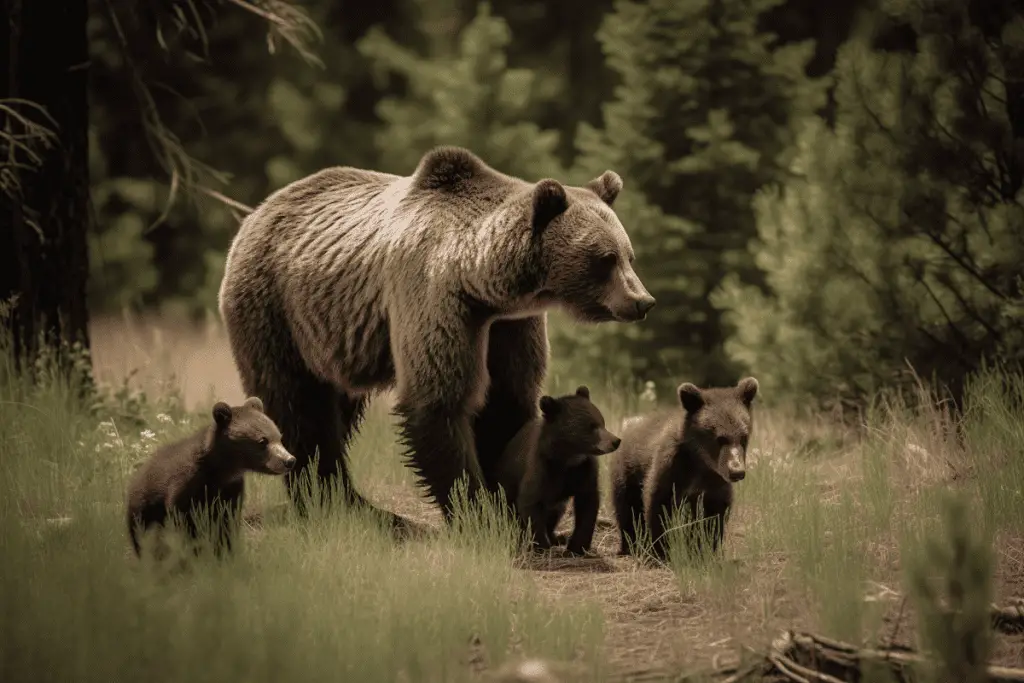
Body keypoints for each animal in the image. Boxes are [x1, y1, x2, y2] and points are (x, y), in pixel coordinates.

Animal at [124, 397, 296, 557]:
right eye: (262, 440)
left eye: (279, 436)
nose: (289, 460)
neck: (220, 471)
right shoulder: (185, 486)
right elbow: (186, 523)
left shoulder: (230, 490)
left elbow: (226, 525)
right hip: (143, 509)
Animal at [218, 147, 655, 528]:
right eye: (605, 259)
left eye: (629, 255)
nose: (642, 301)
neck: (482, 280)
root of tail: (256, 213)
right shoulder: (434, 294)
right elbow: (438, 400)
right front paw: (479, 513)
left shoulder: (509, 325)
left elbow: (506, 399)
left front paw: (509, 496)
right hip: (275, 308)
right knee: (297, 402)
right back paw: (342, 502)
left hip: (334, 332)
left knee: (337, 405)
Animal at [493, 385, 618, 557]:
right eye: (592, 426)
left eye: (602, 422)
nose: (616, 441)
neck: (568, 458)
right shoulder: (541, 470)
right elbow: (530, 503)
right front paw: (542, 546)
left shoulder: (584, 471)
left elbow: (588, 504)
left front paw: (576, 547)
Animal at [606, 378, 761, 561]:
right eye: (719, 438)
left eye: (743, 436)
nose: (736, 471)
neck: (700, 462)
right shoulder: (672, 469)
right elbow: (659, 505)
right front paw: (661, 551)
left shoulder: (714, 482)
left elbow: (714, 515)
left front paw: (705, 550)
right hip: (628, 471)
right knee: (627, 508)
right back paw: (631, 545)